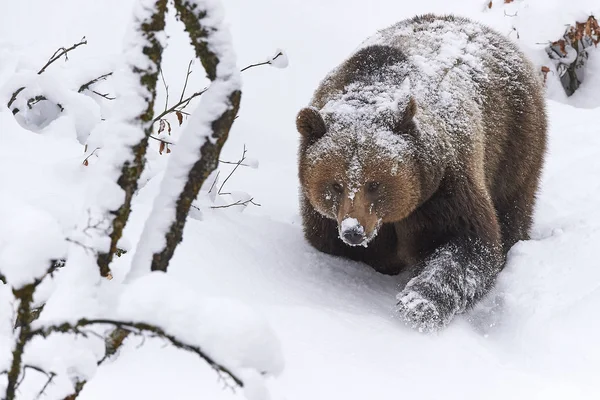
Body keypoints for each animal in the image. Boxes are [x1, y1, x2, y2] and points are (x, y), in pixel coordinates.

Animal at [296, 13, 548, 332]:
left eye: (374, 183)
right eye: (335, 184)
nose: (353, 231)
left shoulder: (443, 189)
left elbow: (468, 244)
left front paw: (419, 304)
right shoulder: (326, 218)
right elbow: (335, 246)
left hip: (513, 142)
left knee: (512, 209)